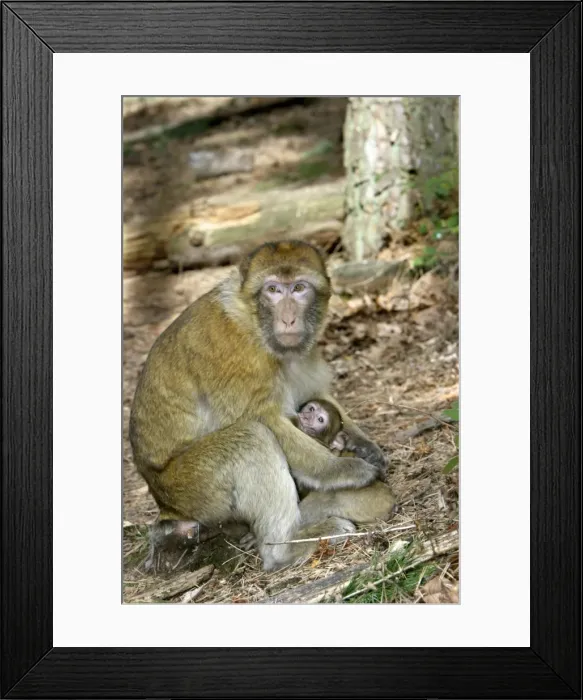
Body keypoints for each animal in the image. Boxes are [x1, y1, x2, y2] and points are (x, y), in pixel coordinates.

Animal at [130, 240, 396, 572]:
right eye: (273, 290)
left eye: (299, 288)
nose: (288, 318)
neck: (253, 323)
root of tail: (163, 502)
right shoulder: (234, 354)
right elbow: (264, 418)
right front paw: (343, 469)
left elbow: (315, 390)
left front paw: (364, 445)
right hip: (191, 489)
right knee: (251, 438)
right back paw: (283, 550)